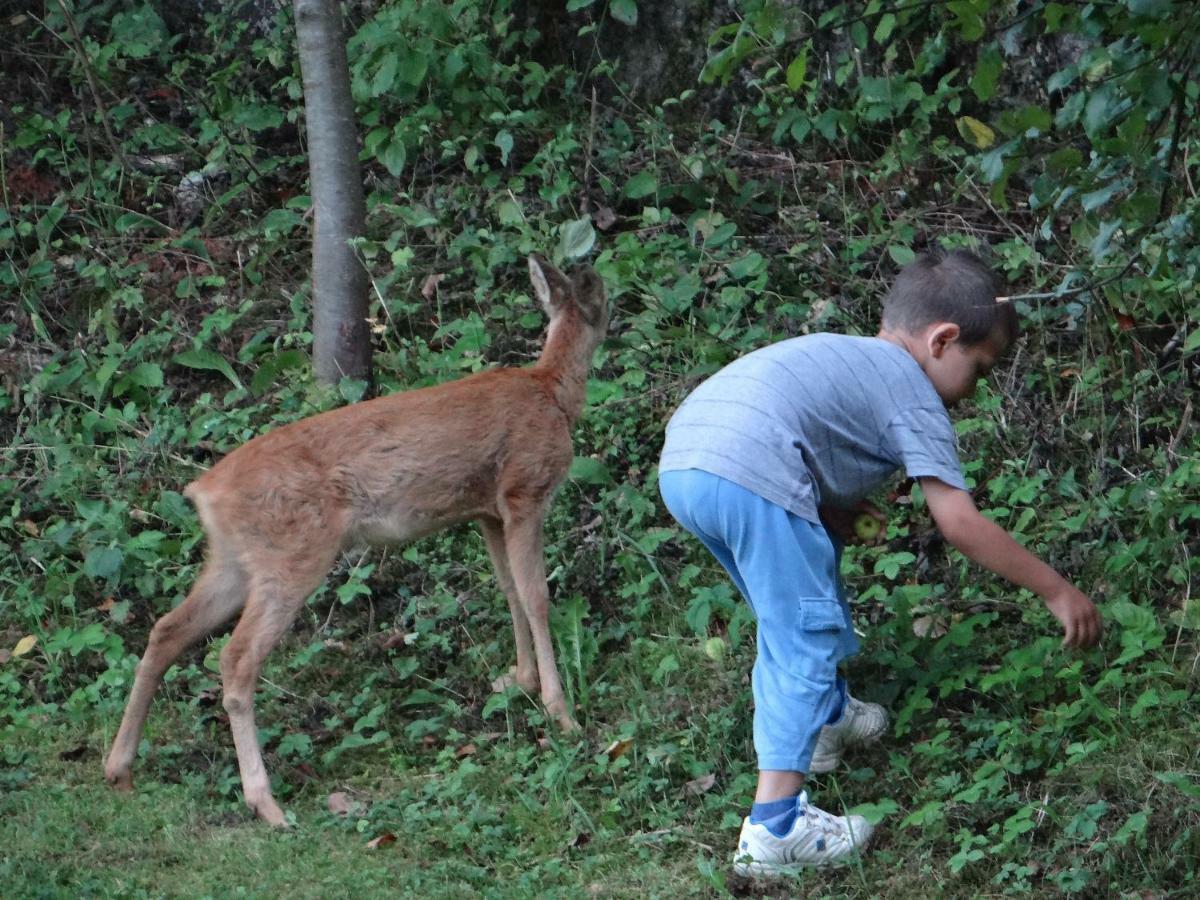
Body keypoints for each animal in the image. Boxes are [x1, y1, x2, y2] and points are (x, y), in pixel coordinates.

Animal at [103, 255, 609, 830]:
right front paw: (560, 712)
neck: (551, 391)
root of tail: (205, 492)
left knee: (167, 630)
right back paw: (266, 803)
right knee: (235, 658)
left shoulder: (486, 511)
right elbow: (536, 595)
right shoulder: (525, 491)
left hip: (233, 561)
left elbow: (508, 591)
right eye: (604, 299)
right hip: (293, 554)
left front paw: (518, 680)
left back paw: (120, 770)